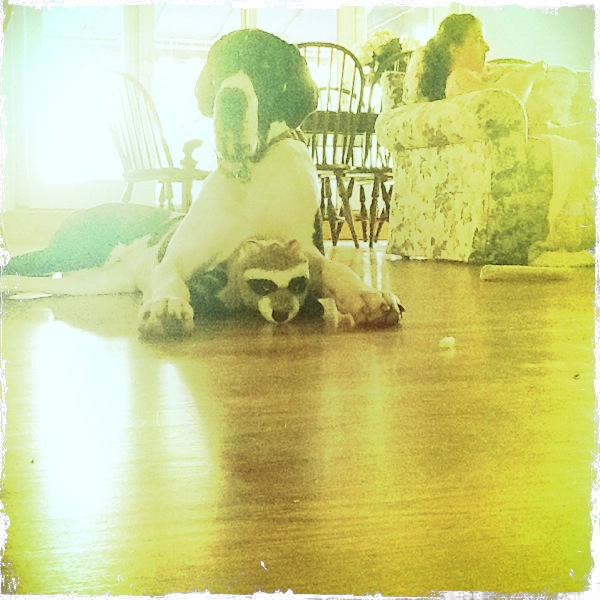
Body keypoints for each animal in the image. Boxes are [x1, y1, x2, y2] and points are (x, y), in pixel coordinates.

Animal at [3, 29, 403, 337]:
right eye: (218, 70)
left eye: (267, 66)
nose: (230, 97)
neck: (249, 177)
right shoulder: (174, 261)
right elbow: (170, 278)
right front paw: (167, 304)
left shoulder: (306, 252)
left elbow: (337, 268)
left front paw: (368, 296)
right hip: (75, 252)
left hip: (93, 280)